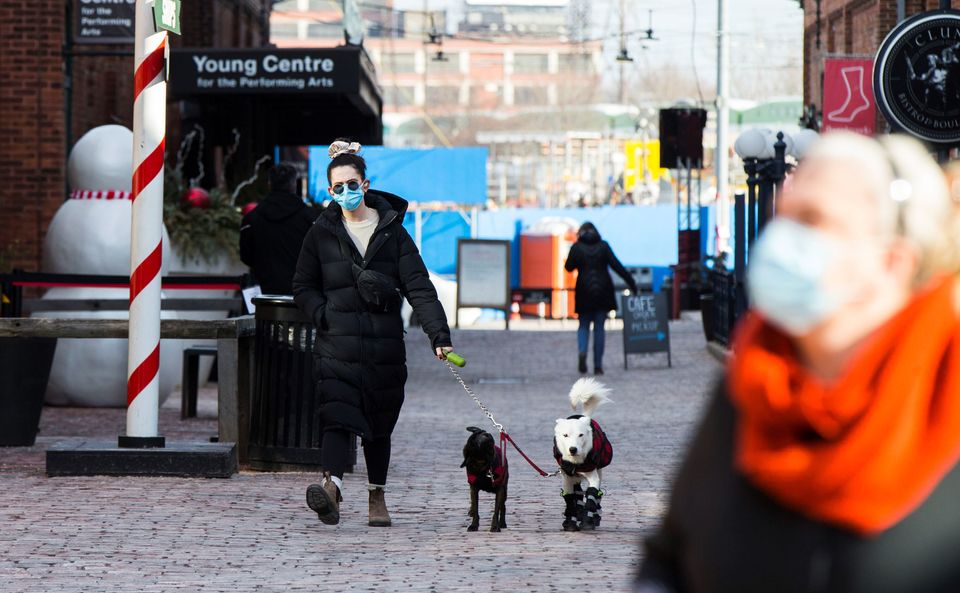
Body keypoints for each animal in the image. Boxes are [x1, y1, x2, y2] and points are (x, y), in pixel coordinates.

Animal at [552, 376, 612, 536]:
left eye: (581, 435)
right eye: (565, 435)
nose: (573, 449)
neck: (575, 462)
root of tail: (584, 417)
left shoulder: (593, 477)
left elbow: (591, 497)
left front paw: (587, 521)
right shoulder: (566, 478)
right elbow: (570, 500)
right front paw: (571, 522)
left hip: (599, 471)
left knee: (596, 496)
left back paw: (594, 516)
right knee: (577, 492)